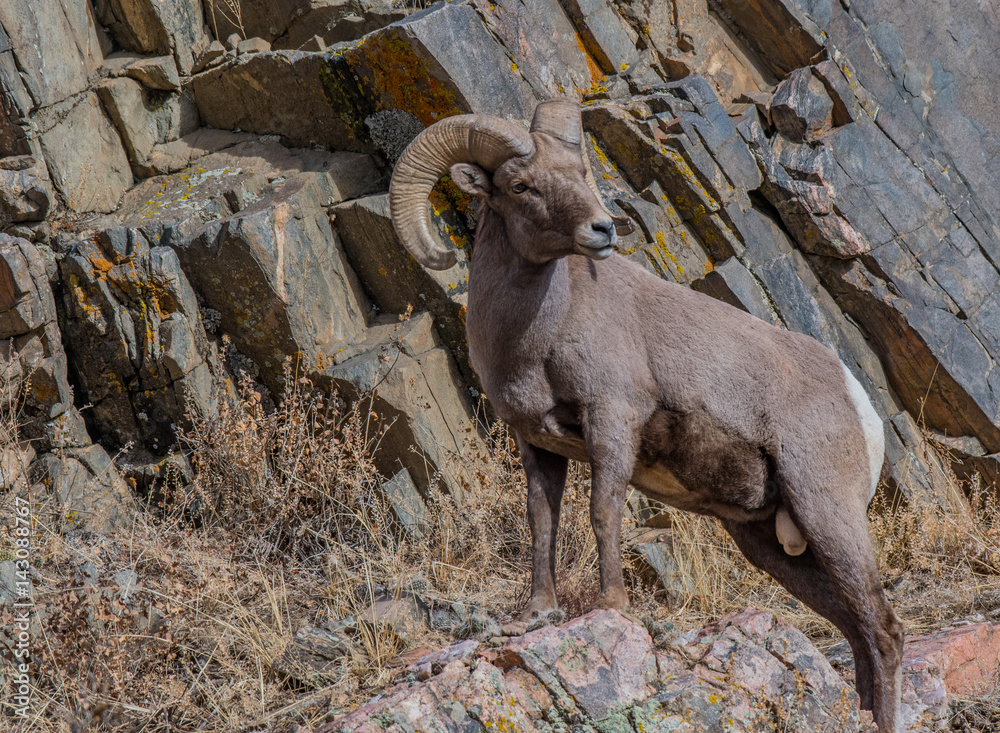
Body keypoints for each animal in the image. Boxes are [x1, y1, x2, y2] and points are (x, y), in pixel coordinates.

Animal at [389, 99, 903, 732]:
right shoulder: (538, 446)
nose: (602, 230)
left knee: (884, 632)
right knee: (856, 631)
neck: (536, 338)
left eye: (579, 174)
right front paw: (536, 613)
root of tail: (858, 403)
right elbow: (542, 522)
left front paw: (611, 607)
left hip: (828, 512)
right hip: (766, 541)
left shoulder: (612, 420)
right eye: (521, 185)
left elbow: (603, 512)